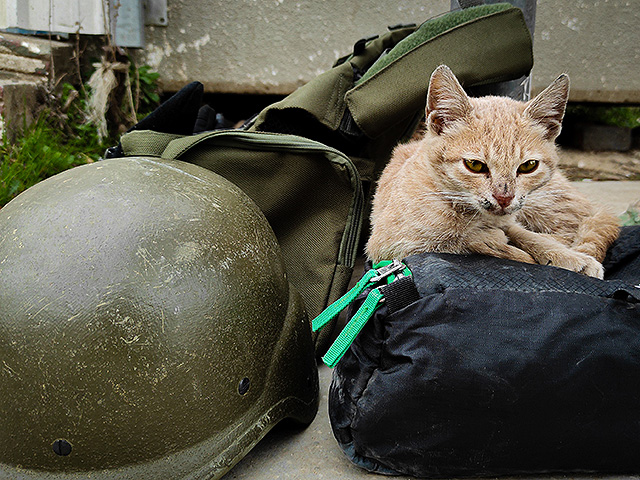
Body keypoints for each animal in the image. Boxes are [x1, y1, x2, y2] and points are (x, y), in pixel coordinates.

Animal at [368, 65, 616, 280]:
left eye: (528, 166)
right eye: (474, 165)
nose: (504, 198)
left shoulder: (511, 219)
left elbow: (526, 235)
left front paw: (569, 257)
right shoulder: (388, 246)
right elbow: (463, 242)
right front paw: (497, 242)